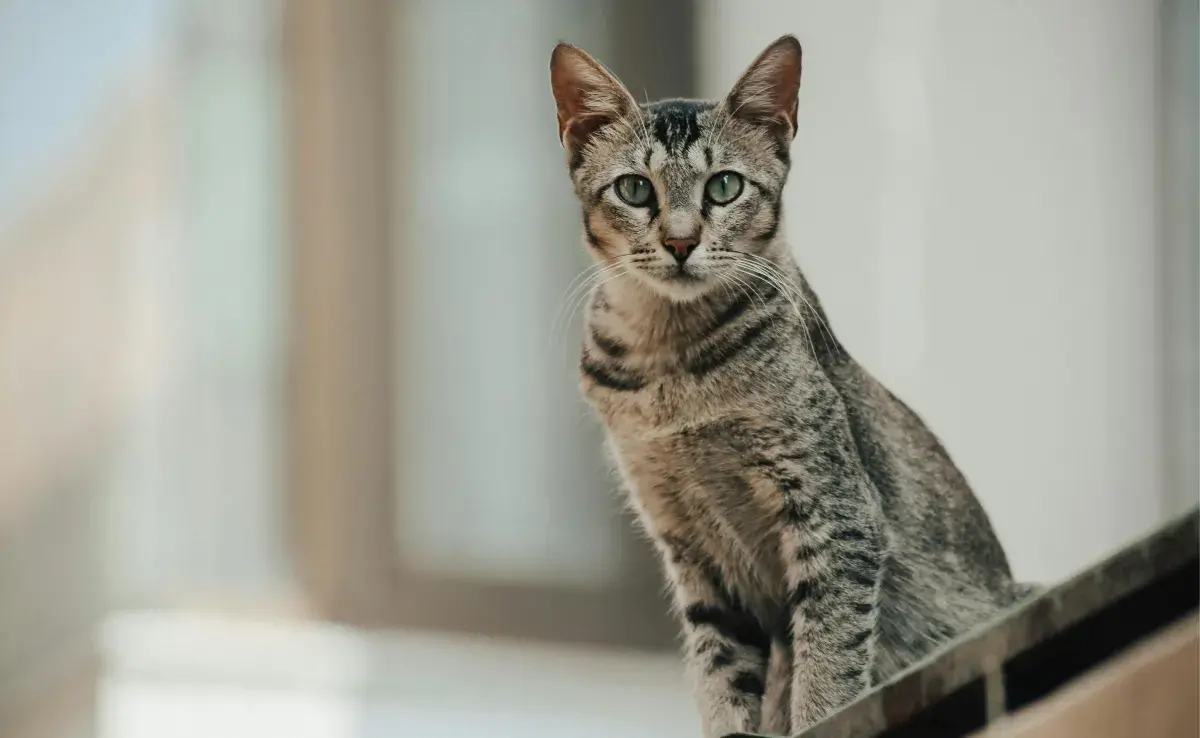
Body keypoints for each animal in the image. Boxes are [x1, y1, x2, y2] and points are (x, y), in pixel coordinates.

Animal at [552, 36, 1032, 738]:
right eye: (635, 189)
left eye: (724, 186)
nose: (679, 241)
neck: (670, 363)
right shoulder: (692, 552)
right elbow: (720, 678)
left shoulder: (837, 512)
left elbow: (828, 662)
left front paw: (819, 715)